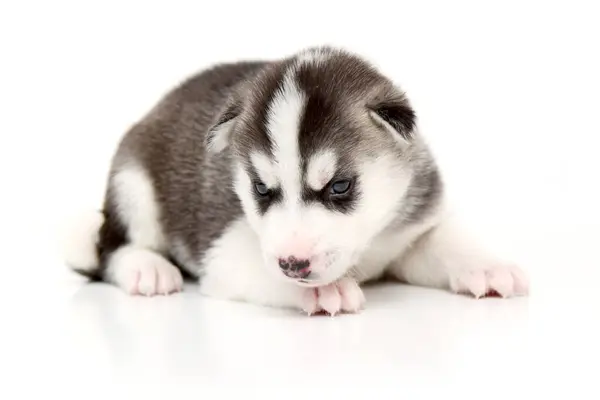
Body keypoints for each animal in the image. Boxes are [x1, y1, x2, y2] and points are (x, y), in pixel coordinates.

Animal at [62, 47, 528, 316]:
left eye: (339, 187)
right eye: (261, 189)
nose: (293, 264)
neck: (368, 244)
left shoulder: (412, 229)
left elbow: (445, 244)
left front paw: (485, 265)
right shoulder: (225, 247)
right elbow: (258, 265)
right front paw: (325, 290)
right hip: (133, 186)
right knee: (108, 248)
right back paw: (146, 268)